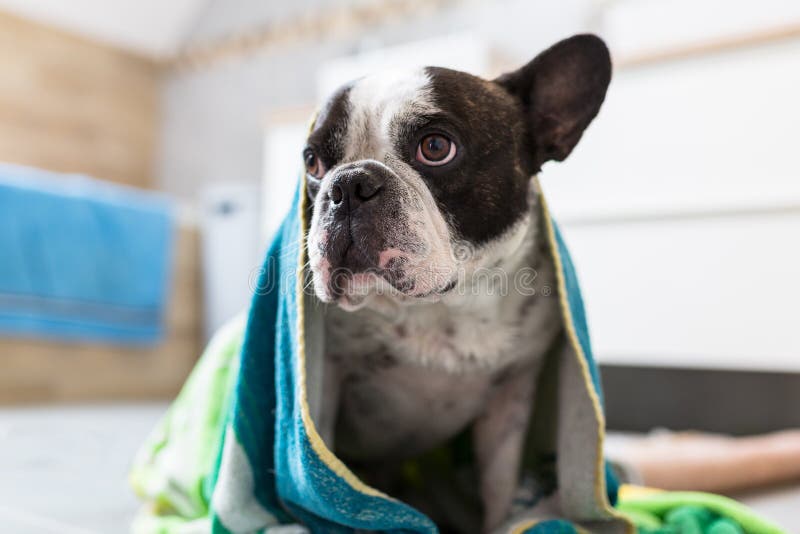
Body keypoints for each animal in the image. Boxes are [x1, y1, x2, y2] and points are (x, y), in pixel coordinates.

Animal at [304, 34, 608, 534]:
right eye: (312, 162)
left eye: (435, 147)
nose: (346, 185)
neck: (444, 307)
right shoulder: (326, 377)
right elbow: (323, 459)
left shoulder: (510, 398)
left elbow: (499, 485)